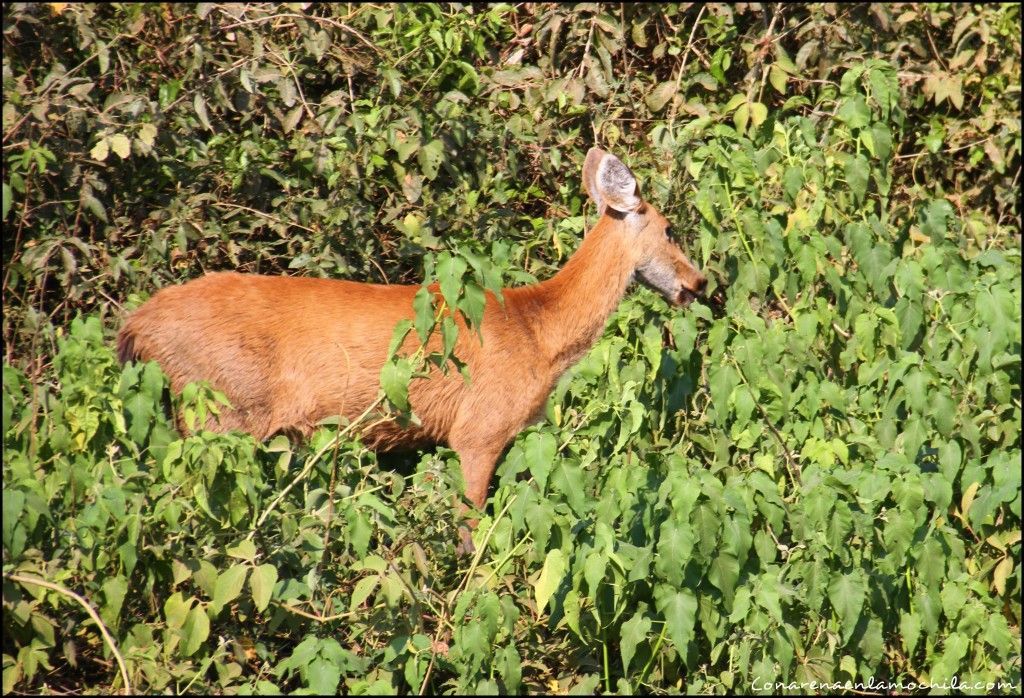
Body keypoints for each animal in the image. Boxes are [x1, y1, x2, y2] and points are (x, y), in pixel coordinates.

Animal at [117, 146, 704, 548]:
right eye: (670, 229)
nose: (698, 283)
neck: (539, 332)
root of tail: (138, 324)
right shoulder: (479, 428)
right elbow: (470, 530)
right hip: (219, 410)